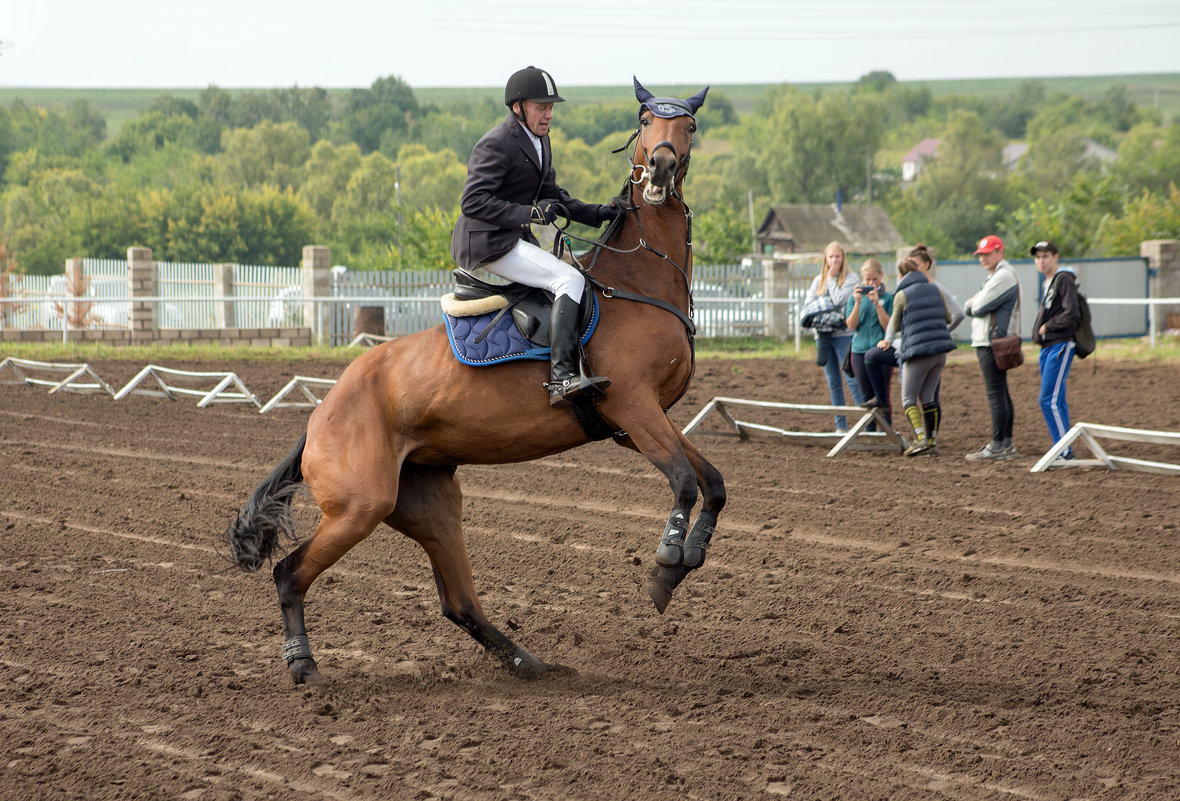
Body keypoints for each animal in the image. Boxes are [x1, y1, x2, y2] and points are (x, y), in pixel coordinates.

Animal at [225, 79, 722, 684]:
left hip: (431, 502)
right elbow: (685, 481)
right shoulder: (634, 407)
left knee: (457, 600)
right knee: (290, 573)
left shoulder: (647, 420)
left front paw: (689, 557)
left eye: (688, 126)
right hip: (360, 507)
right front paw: (666, 564)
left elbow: (713, 483)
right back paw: (304, 665)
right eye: (646, 122)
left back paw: (525, 659)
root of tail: (321, 415)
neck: (638, 280)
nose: (660, 169)